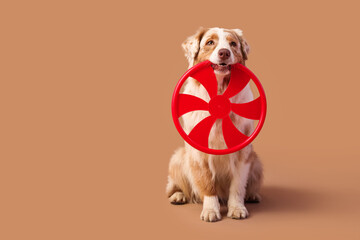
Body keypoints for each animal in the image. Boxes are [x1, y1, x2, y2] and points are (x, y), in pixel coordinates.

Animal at [166, 27, 262, 222]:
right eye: (210, 42)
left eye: (233, 44)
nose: (224, 52)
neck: (219, 90)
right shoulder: (199, 153)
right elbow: (206, 183)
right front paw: (211, 210)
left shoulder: (243, 153)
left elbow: (238, 185)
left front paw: (237, 208)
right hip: (178, 158)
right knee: (176, 186)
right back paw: (178, 196)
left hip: (256, 162)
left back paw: (252, 195)